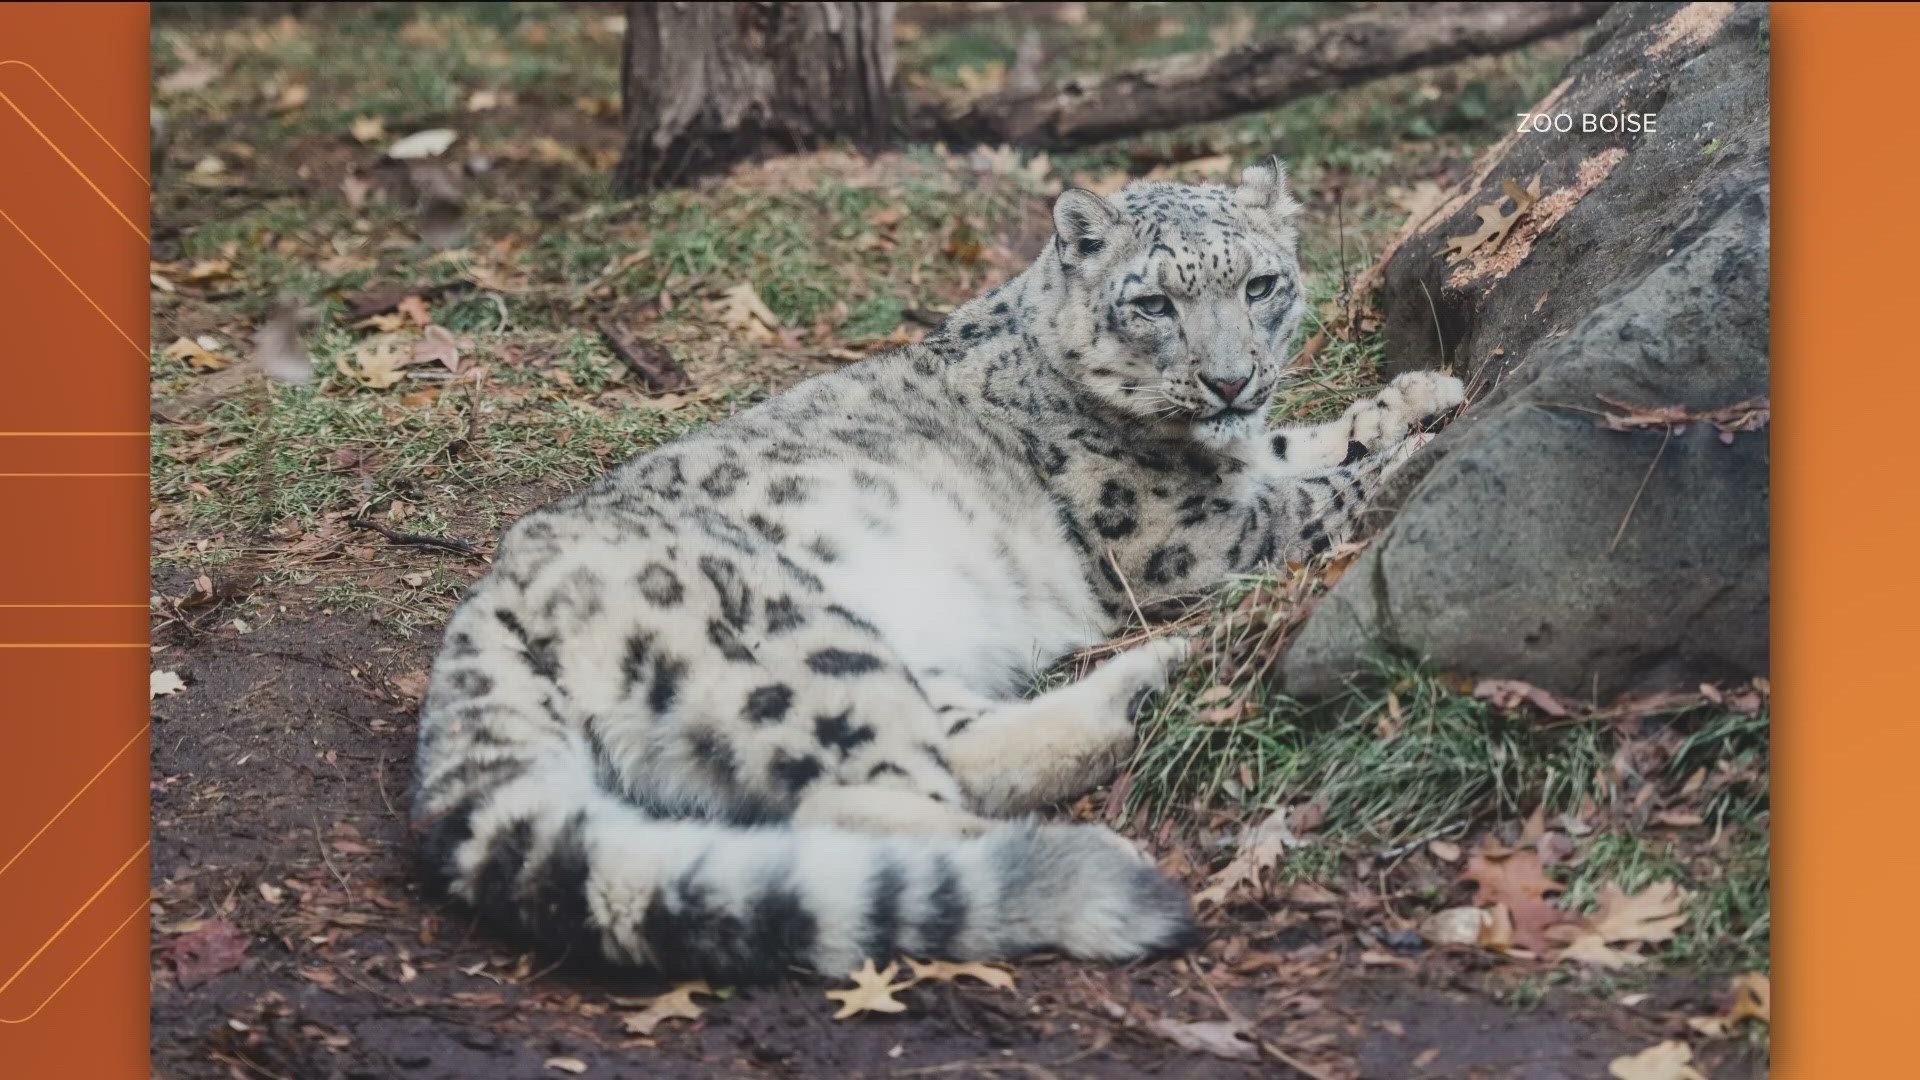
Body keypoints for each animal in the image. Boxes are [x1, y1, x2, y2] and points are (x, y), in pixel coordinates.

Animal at [405, 157, 1451, 976]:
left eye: (1261, 284)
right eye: (1154, 303)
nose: (1231, 380)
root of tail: (490, 597)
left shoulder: (1240, 465)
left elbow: (1294, 445)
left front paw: (1421, 394)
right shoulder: (1181, 531)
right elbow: (1310, 496)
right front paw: (1418, 457)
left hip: (883, 663)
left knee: (952, 752)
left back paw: (1147, 686)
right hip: (792, 642)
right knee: (858, 805)